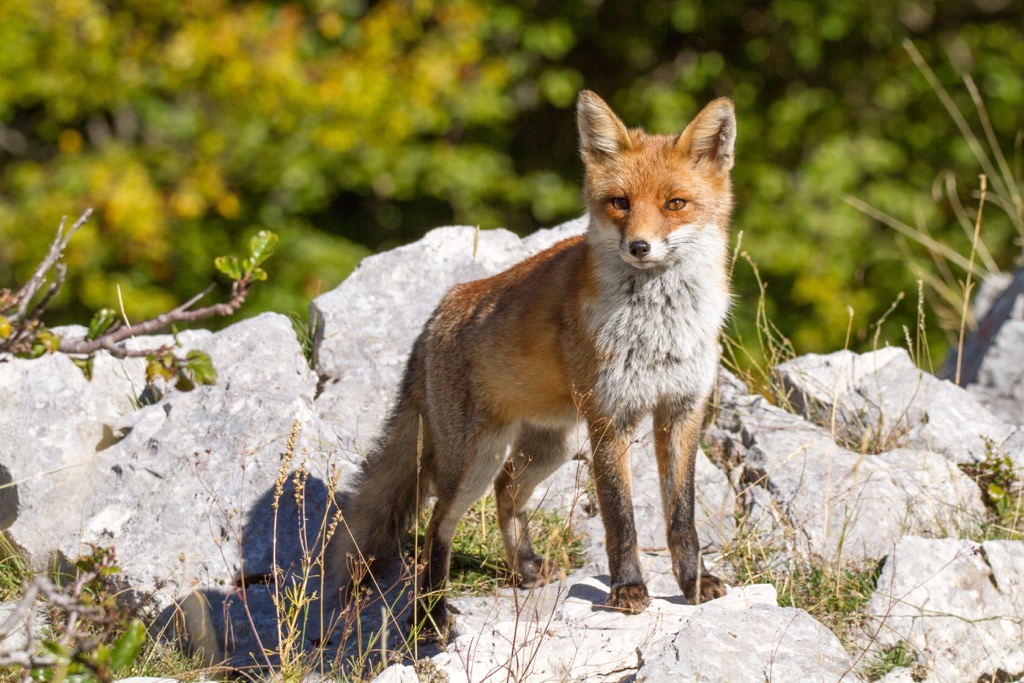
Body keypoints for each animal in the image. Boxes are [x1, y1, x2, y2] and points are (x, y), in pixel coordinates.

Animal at [326, 90, 736, 634]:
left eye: (675, 204)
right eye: (619, 203)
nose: (639, 247)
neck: (659, 328)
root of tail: (436, 315)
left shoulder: (681, 412)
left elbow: (682, 517)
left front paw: (693, 583)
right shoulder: (610, 421)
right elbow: (620, 519)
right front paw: (628, 589)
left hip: (549, 448)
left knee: (505, 494)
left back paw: (522, 569)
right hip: (475, 460)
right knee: (437, 525)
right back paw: (432, 616)